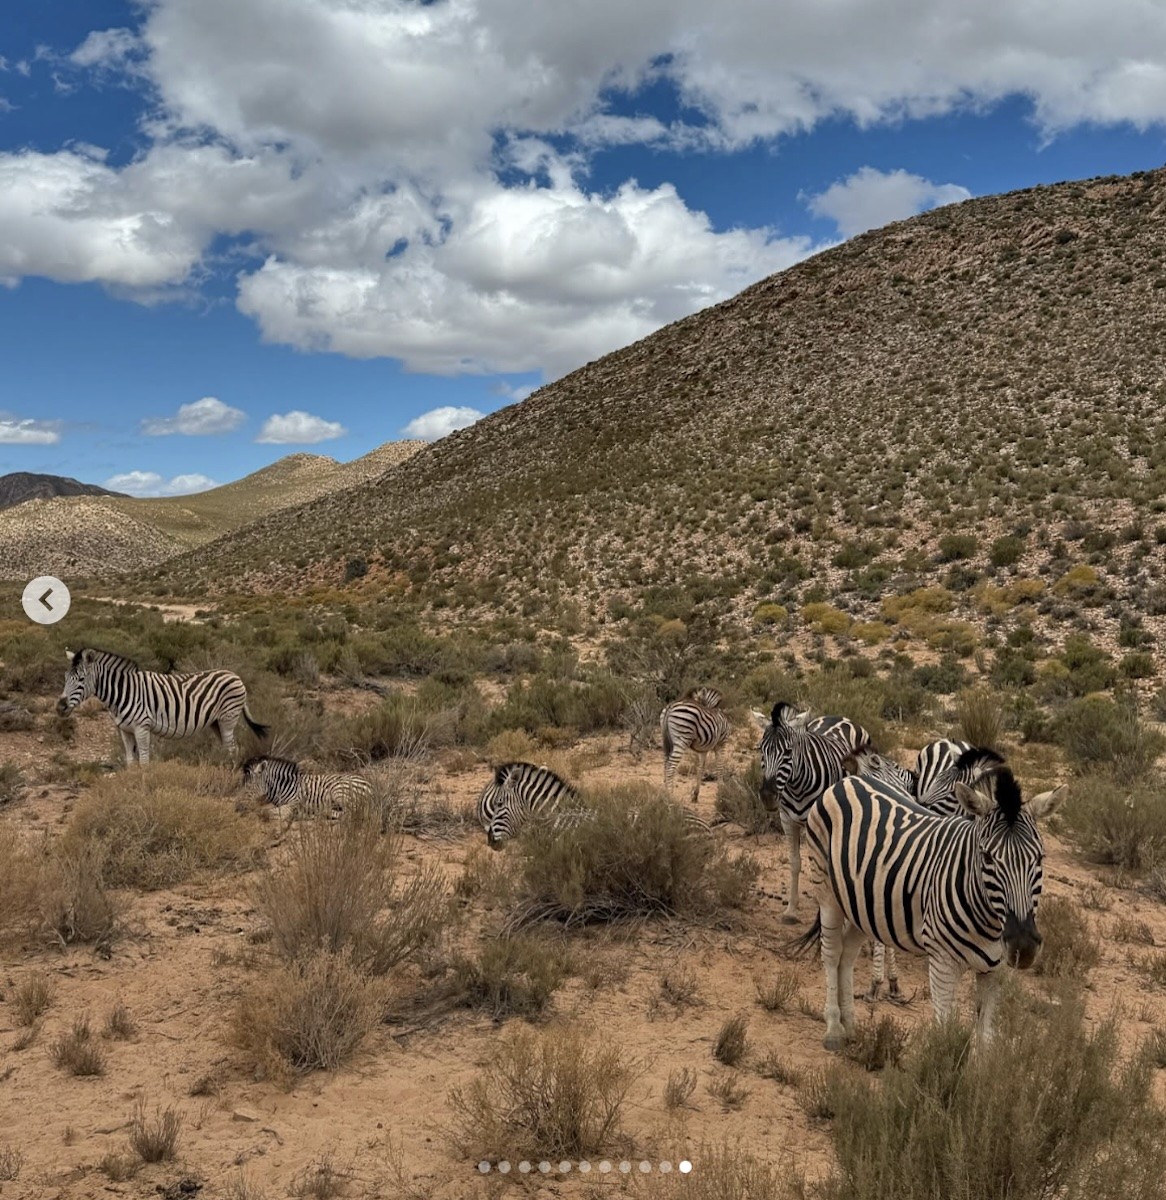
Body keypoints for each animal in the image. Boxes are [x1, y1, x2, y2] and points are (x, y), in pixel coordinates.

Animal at [56, 648, 268, 768]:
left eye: (81, 679)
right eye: (65, 677)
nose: (59, 707)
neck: (122, 692)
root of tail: (235, 675)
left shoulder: (142, 727)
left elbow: (144, 760)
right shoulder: (124, 730)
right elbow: (130, 761)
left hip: (228, 718)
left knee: (232, 748)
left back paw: (229, 771)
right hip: (216, 722)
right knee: (227, 747)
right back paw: (222, 768)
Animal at [242, 753, 374, 830]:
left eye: (249, 786)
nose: (240, 807)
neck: (285, 787)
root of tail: (369, 785)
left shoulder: (292, 805)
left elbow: (266, 812)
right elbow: (265, 810)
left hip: (339, 791)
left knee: (353, 813)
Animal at [753, 700, 868, 921]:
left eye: (788, 752)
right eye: (760, 750)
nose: (768, 797)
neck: (797, 787)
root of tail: (840, 717)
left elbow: (820, 865)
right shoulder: (787, 820)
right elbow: (795, 863)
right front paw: (791, 909)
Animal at [796, 748, 1060, 1051]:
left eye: (1039, 857)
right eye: (987, 857)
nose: (1023, 947)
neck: (991, 922)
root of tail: (850, 780)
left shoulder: (994, 972)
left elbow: (985, 1040)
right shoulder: (942, 962)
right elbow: (945, 1035)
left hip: (862, 904)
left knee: (847, 955)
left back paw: (850, 1027)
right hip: (827, 891)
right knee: (831, 953)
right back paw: (833, 1030)